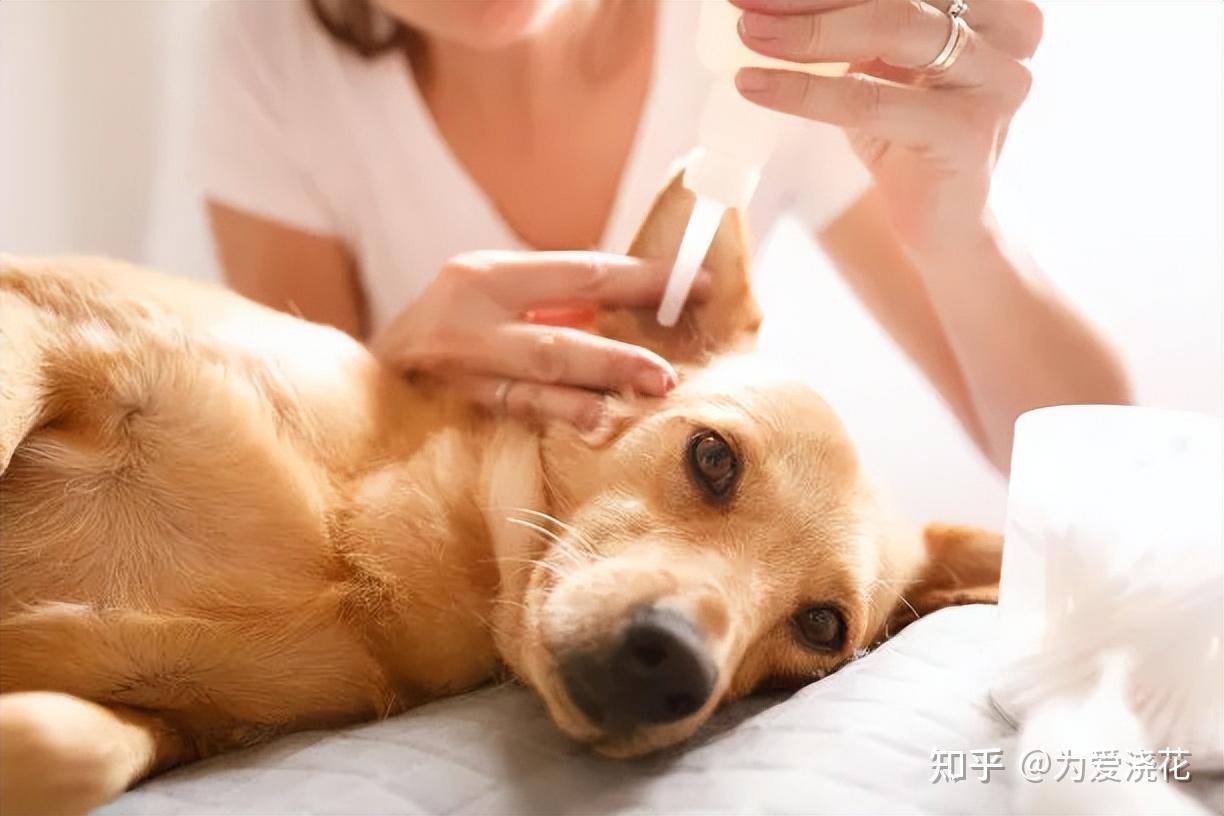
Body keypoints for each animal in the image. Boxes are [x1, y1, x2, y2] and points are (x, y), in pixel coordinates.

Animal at [0, 178, 1003, 816]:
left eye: (823, 628)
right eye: (713, 458)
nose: (675, 668)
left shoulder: (183, 724)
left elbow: (76, 747)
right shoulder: (34, 322)